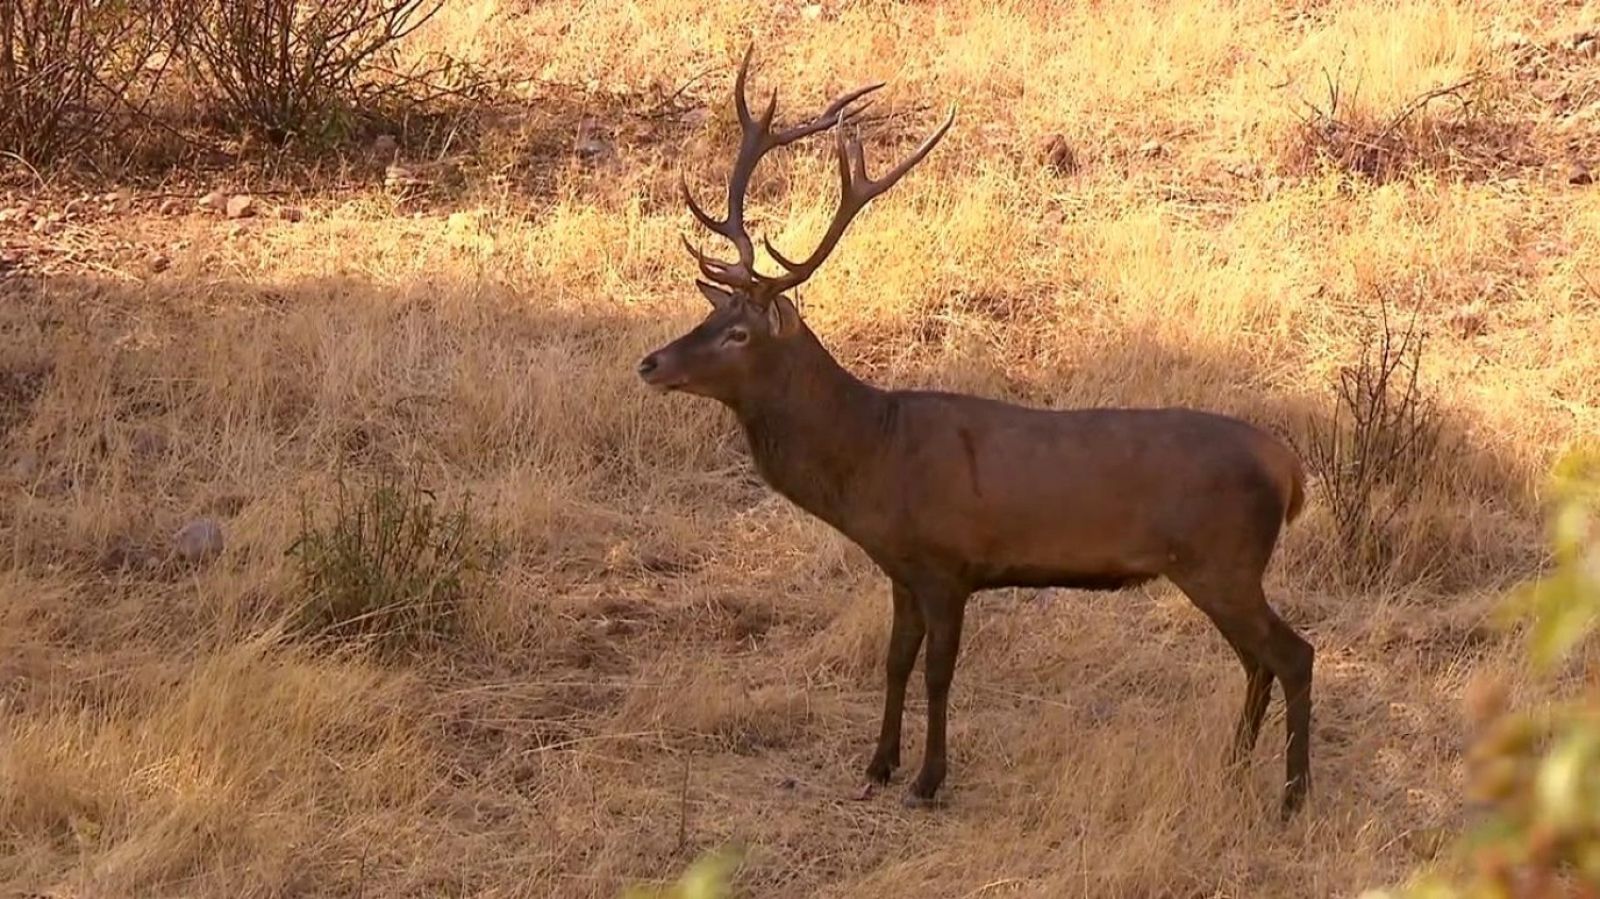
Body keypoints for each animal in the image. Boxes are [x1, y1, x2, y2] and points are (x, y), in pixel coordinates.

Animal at [640, 48, 1324, 819]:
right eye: (710, 312)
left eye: (738, 332)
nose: (651, 362)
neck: (873, 458)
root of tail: (1290, 469)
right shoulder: (901, 567)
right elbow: (895, 660)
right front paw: (878, 763)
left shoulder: (949, 563)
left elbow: (939, 672)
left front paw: (928, 779)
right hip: (1216, 568)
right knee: (1257, 660)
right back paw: (1234, 767)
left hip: (1224, 559)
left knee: (1293, 654)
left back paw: (1293, 797)